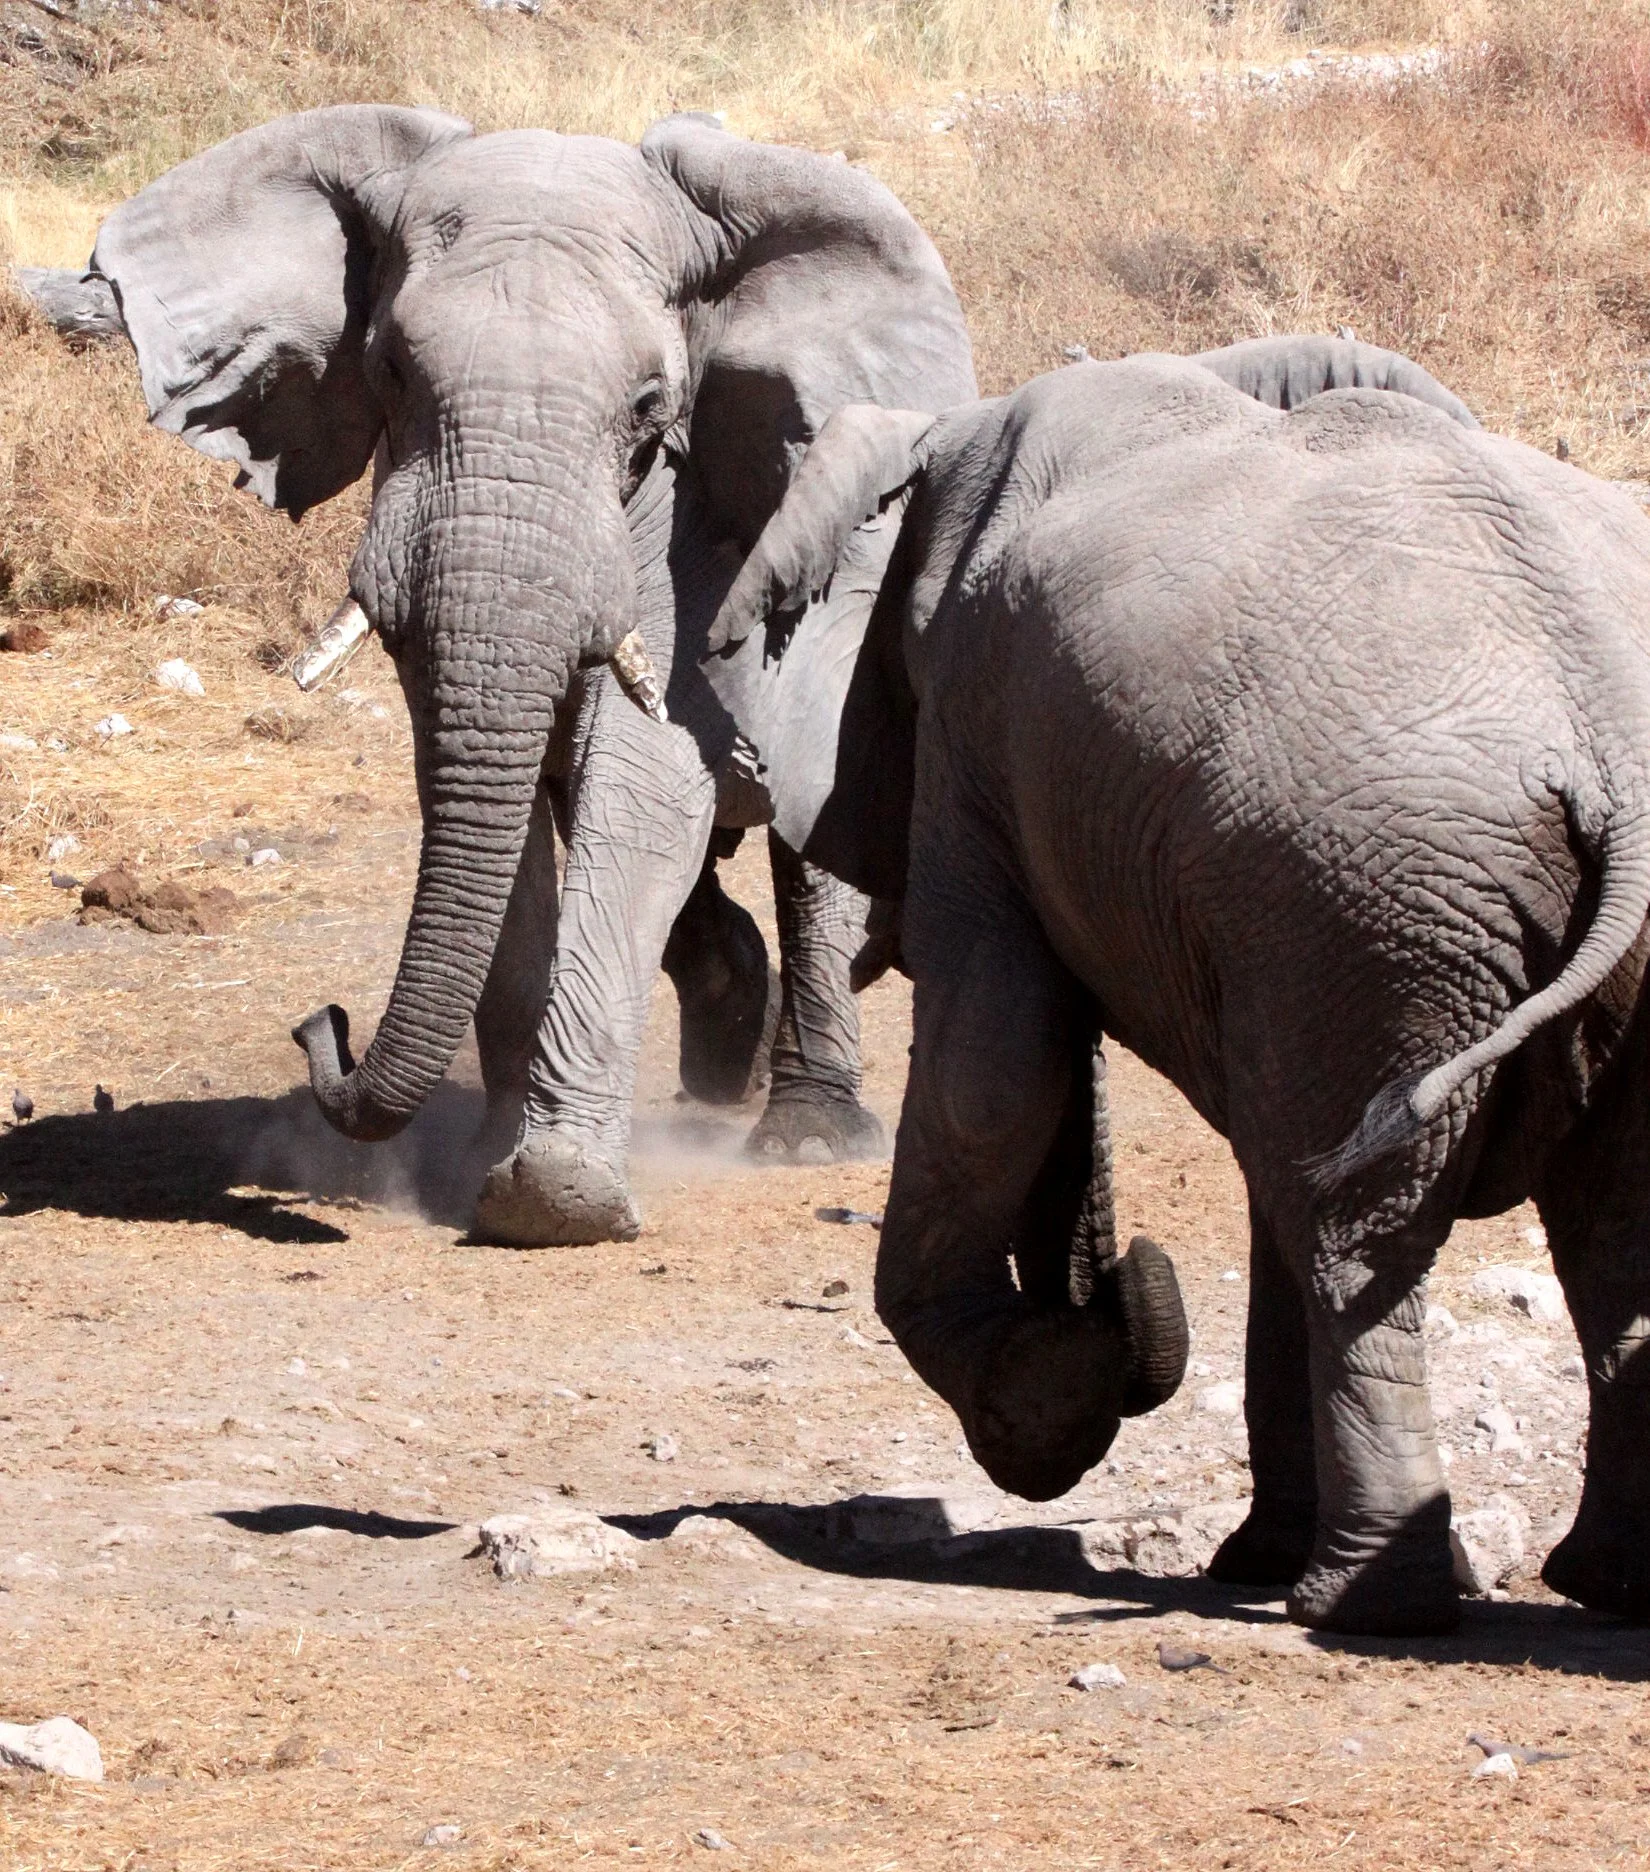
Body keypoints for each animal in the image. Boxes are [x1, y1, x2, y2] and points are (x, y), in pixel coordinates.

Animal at [87, 105, 976, 1245]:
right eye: (388, 373)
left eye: (651, 407)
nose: (319, 1022)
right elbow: (478, 801)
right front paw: (484, 1163)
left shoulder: (684, 536)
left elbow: (642, 786)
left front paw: (555, 1200)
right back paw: (727, 1039)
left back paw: (809, 1136)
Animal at [705, 339, 1650, 1635]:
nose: (1117, 1282)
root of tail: (1605, 728)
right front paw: (1231, 1542)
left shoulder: (974, 734)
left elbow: (997, 1063)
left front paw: (1043, 1412)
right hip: (1390, 913)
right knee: (1578, 1227)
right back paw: (1593, 1585)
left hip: (1374, 888)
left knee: (1359, 1233)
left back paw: (1357, 1608)